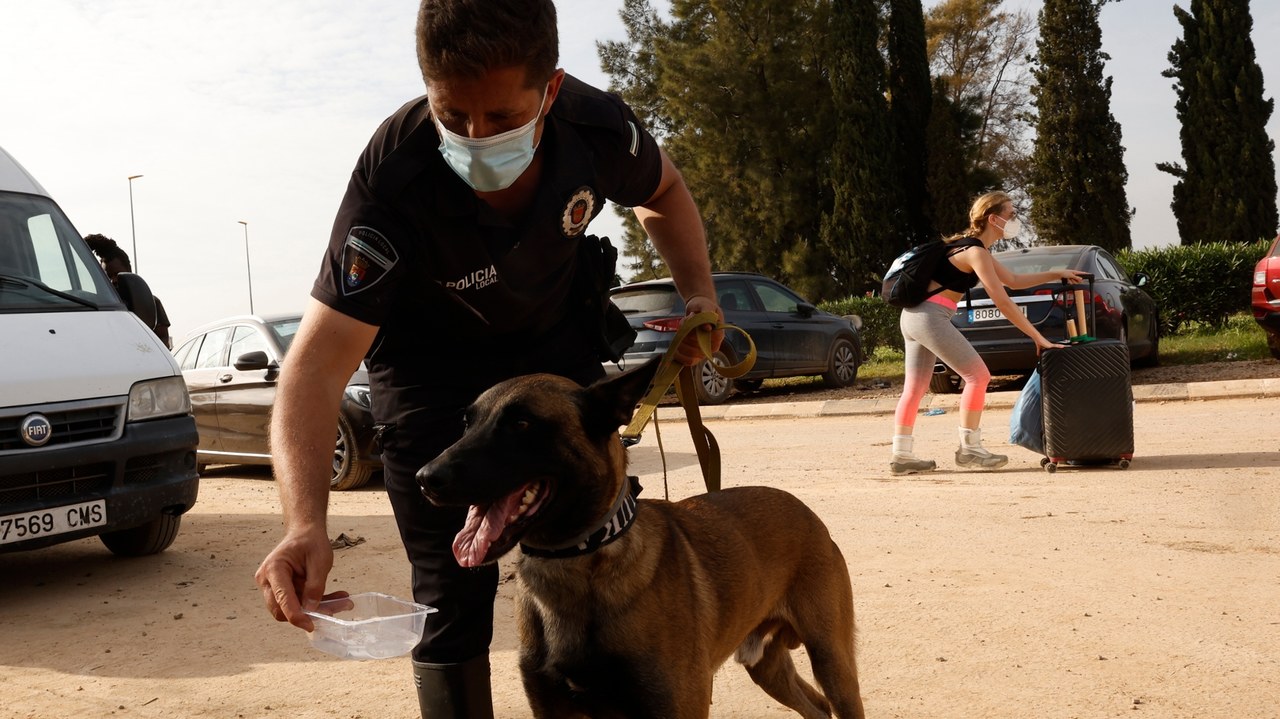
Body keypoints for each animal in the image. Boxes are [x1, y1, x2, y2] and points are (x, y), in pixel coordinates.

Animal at [414, 358, 865, 716]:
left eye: (521, 423)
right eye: (466, 423)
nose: (425, 478)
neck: (580, 561)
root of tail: (806, 512)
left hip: (832, 661)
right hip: (766, 665)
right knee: (816, 707)